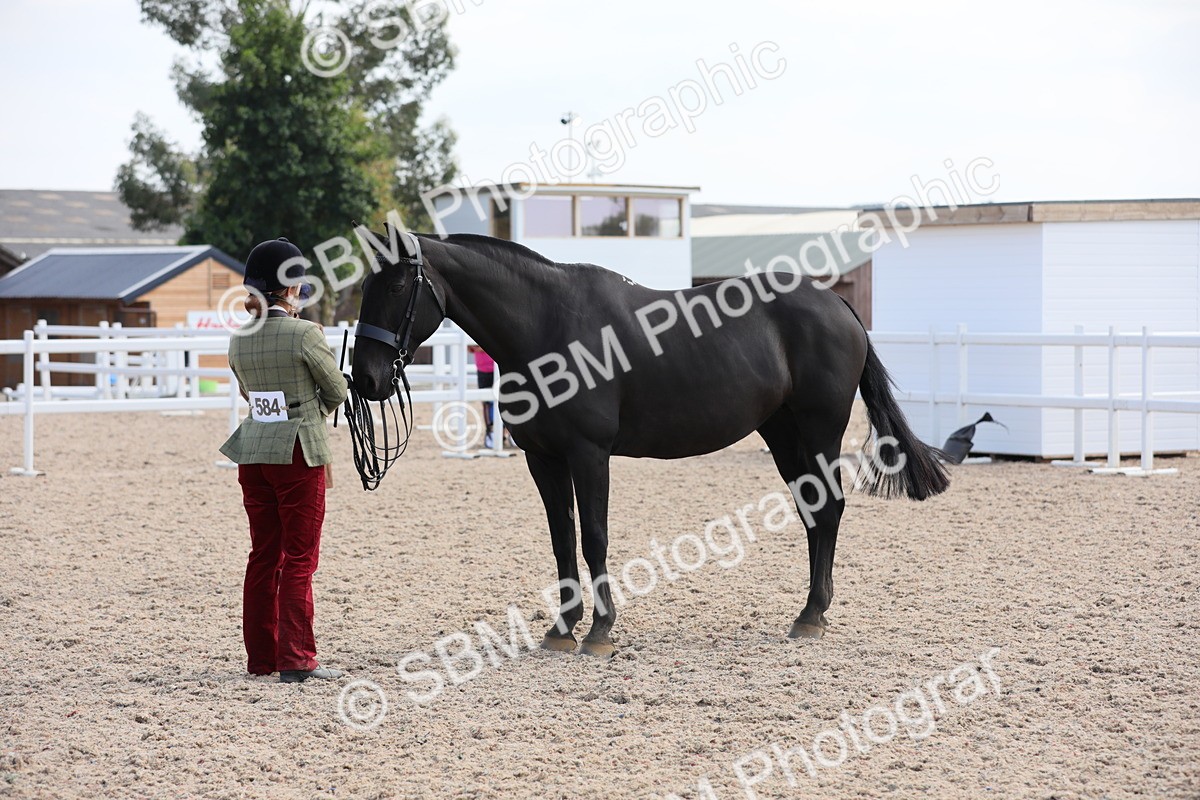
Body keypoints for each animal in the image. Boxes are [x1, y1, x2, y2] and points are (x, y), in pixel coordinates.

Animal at [349, 230, 949, 656]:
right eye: (363, 288)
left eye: (396, 286)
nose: (367, 379)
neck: (547, 328)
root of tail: (839, 307)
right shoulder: (544, 460)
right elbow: (562, 540)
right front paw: (562, 628)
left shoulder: (589, 455)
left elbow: (594, 538)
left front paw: (599, 631)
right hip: (783, 434)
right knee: (812, 510)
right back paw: (808, 614)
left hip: (820, 429)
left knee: (830, 508)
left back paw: (813, 614)